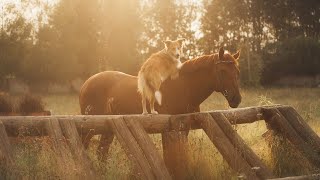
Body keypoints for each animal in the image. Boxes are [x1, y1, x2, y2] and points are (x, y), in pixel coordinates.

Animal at [79, 47, 240, 158]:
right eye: (223, 71)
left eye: (237, 71)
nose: (236, 99)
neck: (182, 87)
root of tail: (86, 84)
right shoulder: (170, 130)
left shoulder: (184, 129)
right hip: (90, 129)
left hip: (107, 129)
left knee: (102, 152)